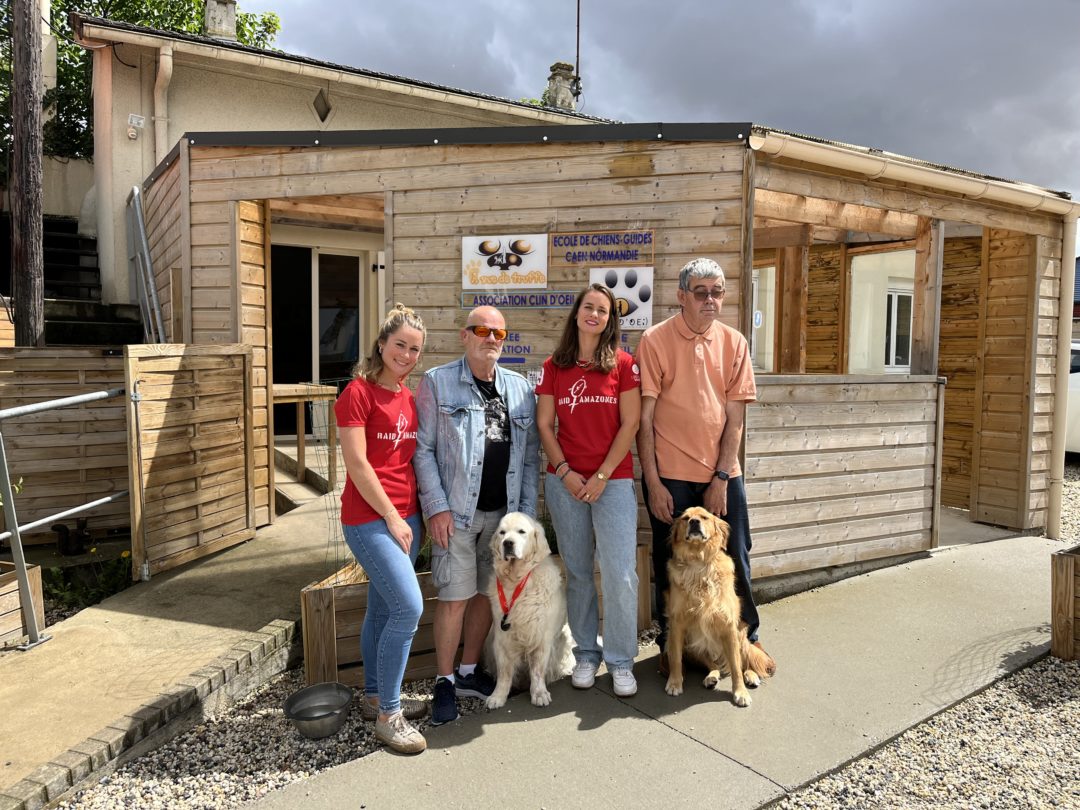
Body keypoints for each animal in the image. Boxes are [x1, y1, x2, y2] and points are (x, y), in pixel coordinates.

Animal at [486, 514, 578, 708]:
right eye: (502, 533)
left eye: (521, 531)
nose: (508, 543)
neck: (517, 580)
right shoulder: (503, 638)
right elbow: (504, 672)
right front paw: (498, 696)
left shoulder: (541, 637)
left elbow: (537, 670)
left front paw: (539, 693)